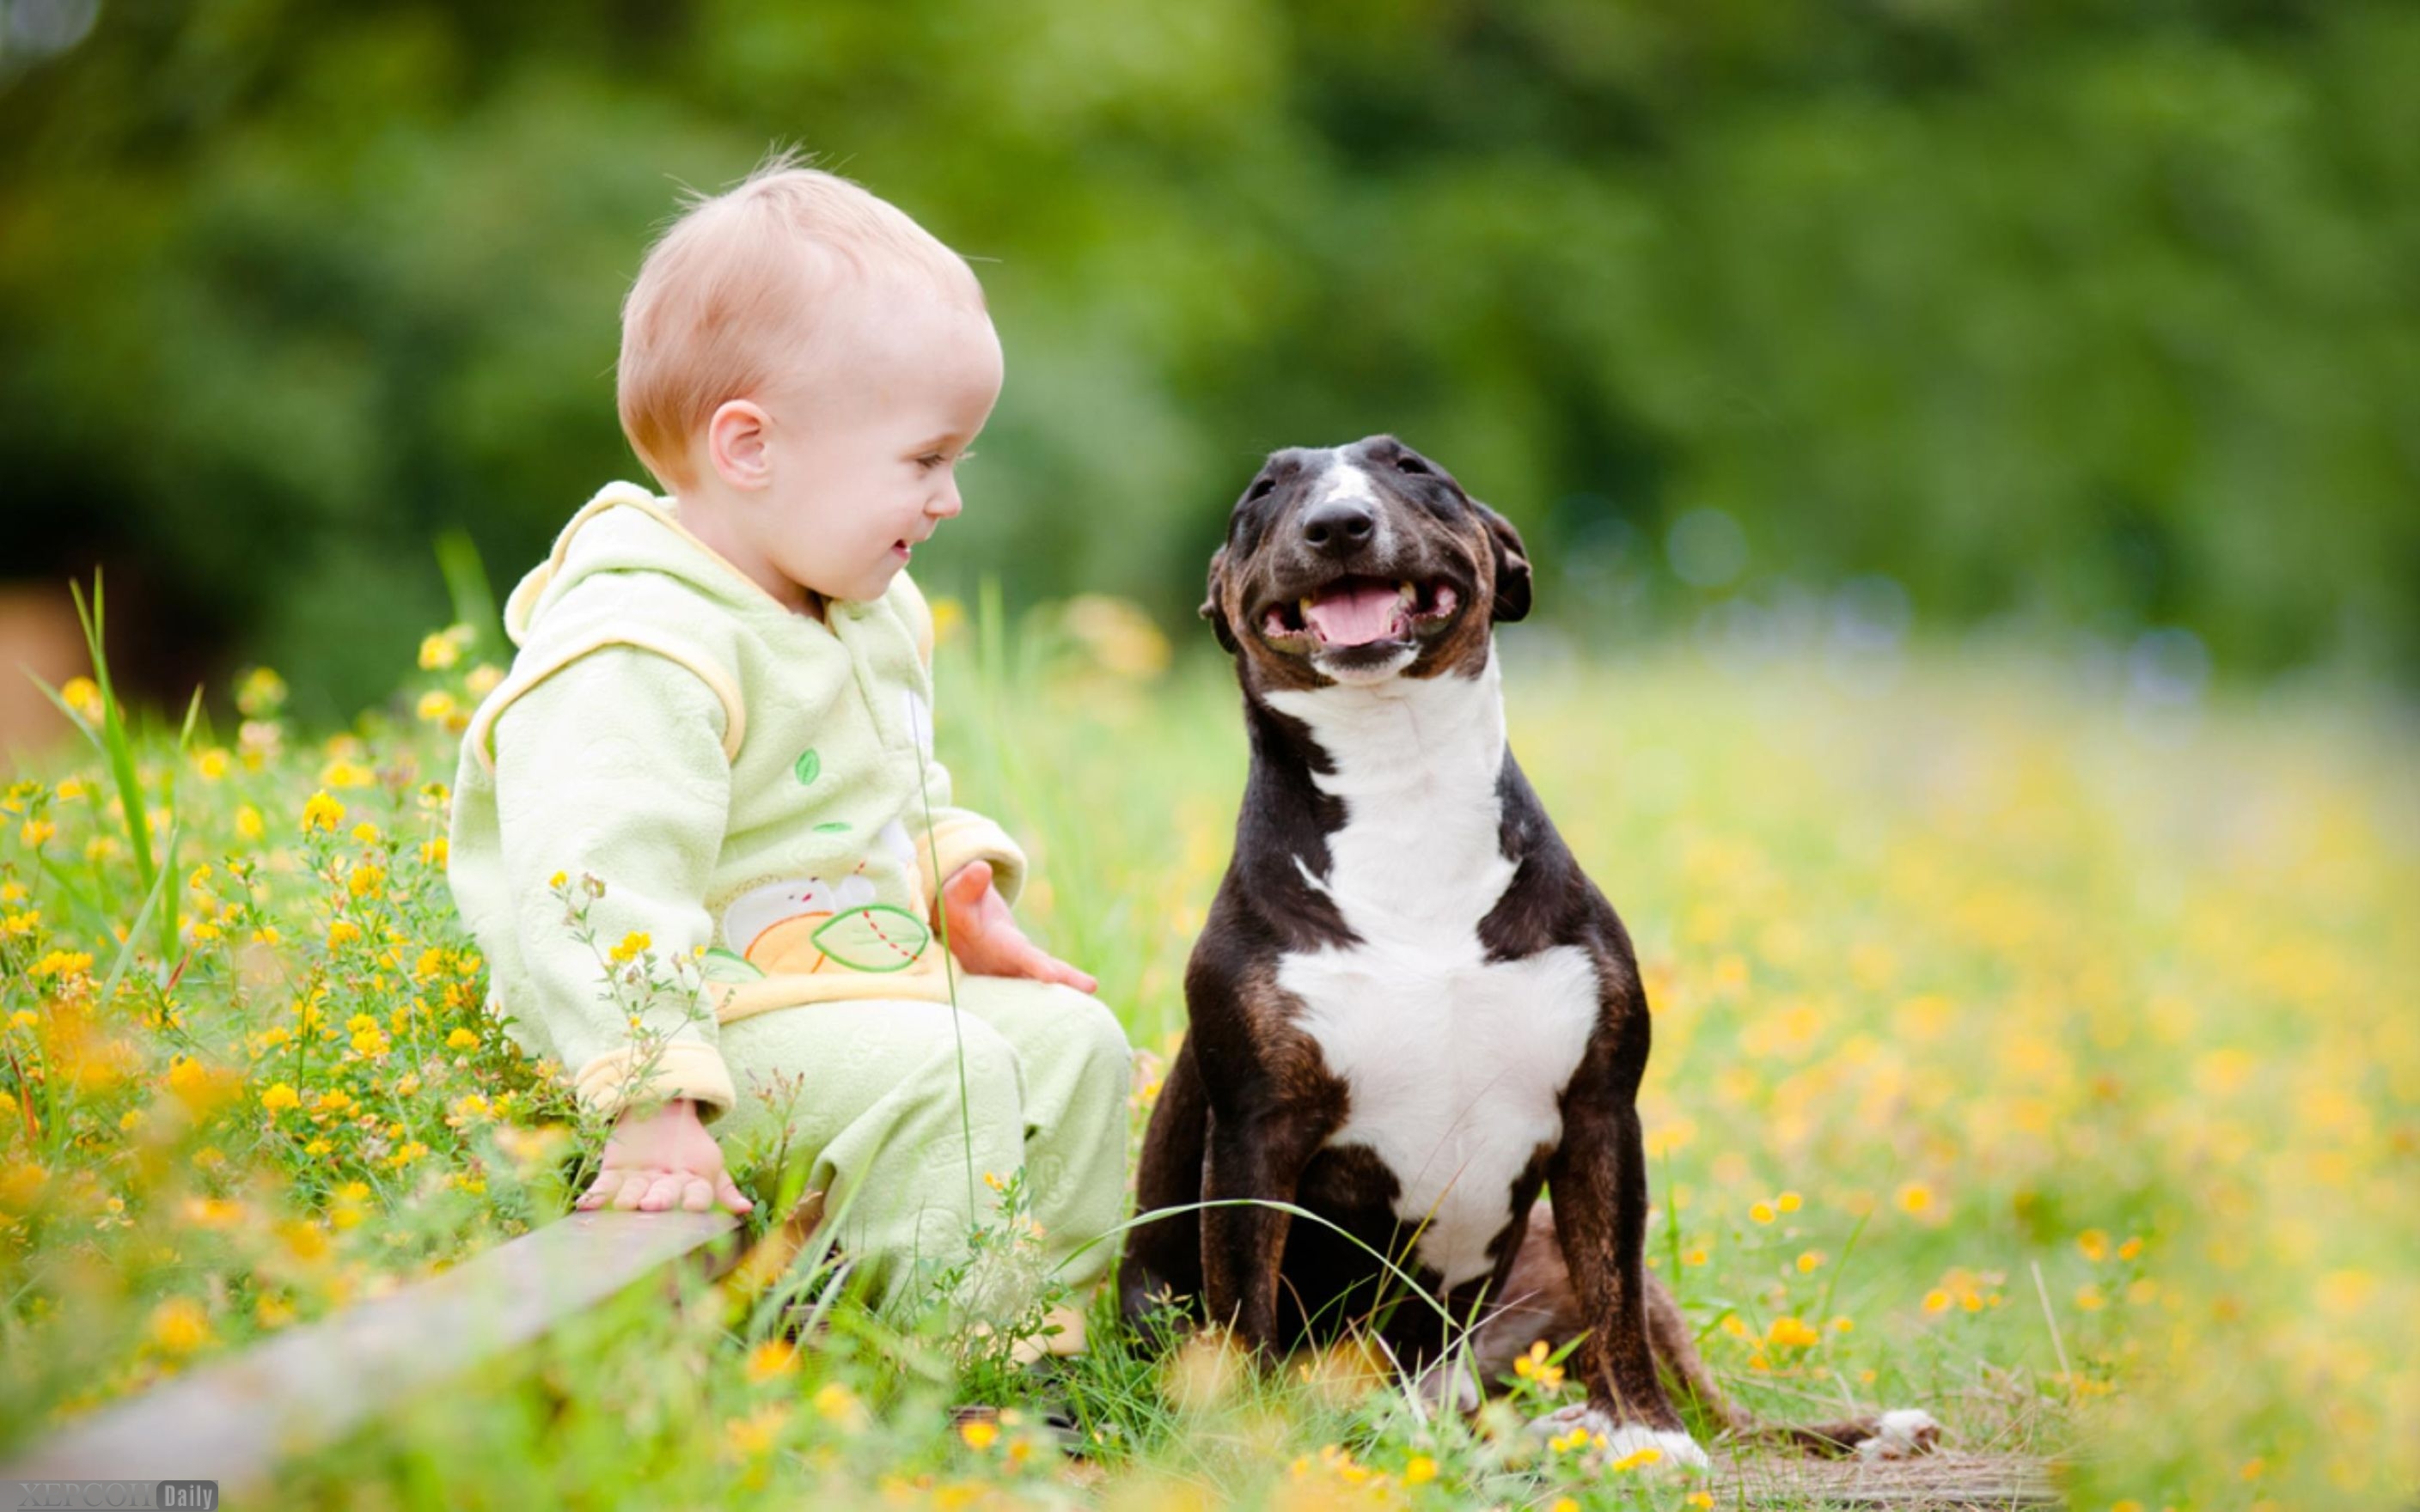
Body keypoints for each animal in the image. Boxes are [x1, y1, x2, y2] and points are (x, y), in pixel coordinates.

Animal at [1122, 433, 1935, 1460]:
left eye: (1413, 469)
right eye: (1263, 492)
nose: (1338, 524)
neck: (1404, 787)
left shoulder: (1599, 1113)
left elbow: (1614, 1298)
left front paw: (1651, 1437)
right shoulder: (1252, 1137)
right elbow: (1245, 1310)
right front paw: (1252, 1445)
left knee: (1717, 1405)